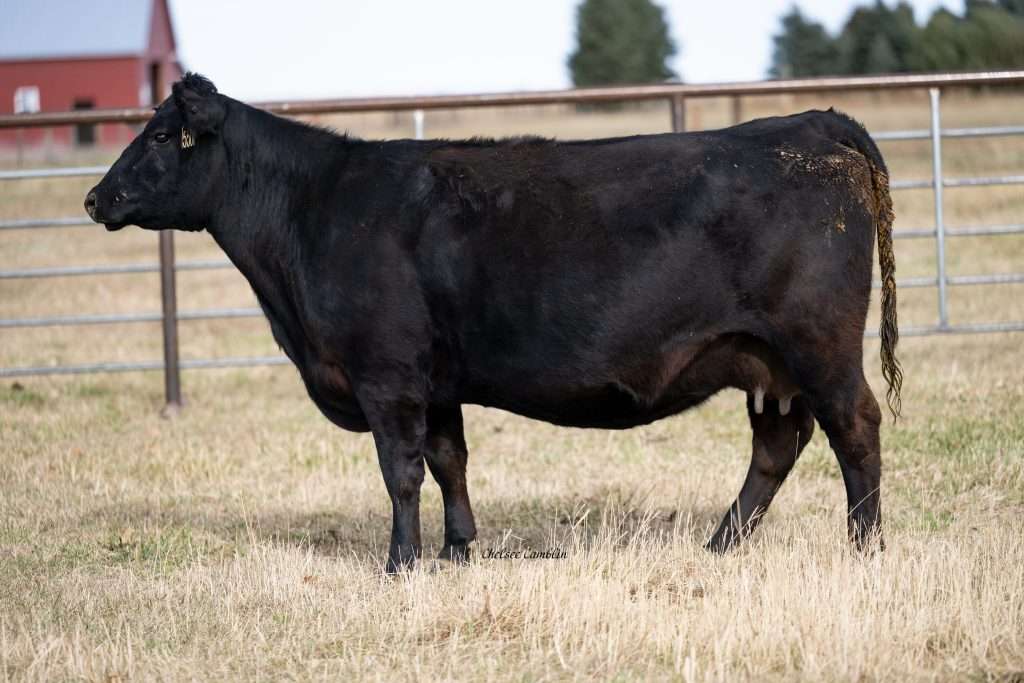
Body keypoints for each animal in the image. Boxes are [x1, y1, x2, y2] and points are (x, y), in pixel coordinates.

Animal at [85, 73, 902, 571]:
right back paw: (719, 545)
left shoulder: (388, 377)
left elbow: (401, 472)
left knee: (855, 430)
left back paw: (864, 547)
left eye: (160, 137)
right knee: (777, 446)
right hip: (768, 362)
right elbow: (450, 461)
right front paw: (457, 551)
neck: (314, 212)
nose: (96, 198)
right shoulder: (438, 384)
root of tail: (811, 120)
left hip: (820, 346)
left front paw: (400, 563)